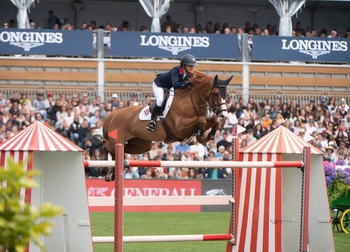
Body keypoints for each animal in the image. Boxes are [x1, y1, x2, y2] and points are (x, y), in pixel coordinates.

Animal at [101, 69, 232, 179]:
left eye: (227, 95)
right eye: (216, 93)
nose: (223, 116)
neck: (192, 101)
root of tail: (112, 115)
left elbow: (211, 121)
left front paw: (204, 136)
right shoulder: (180, 128)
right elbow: (201, 120)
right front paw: (198, 136)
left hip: (141, 145)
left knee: (120, 151)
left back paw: (111, 173)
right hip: (118, 140)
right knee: (106, 145)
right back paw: (104, 170)